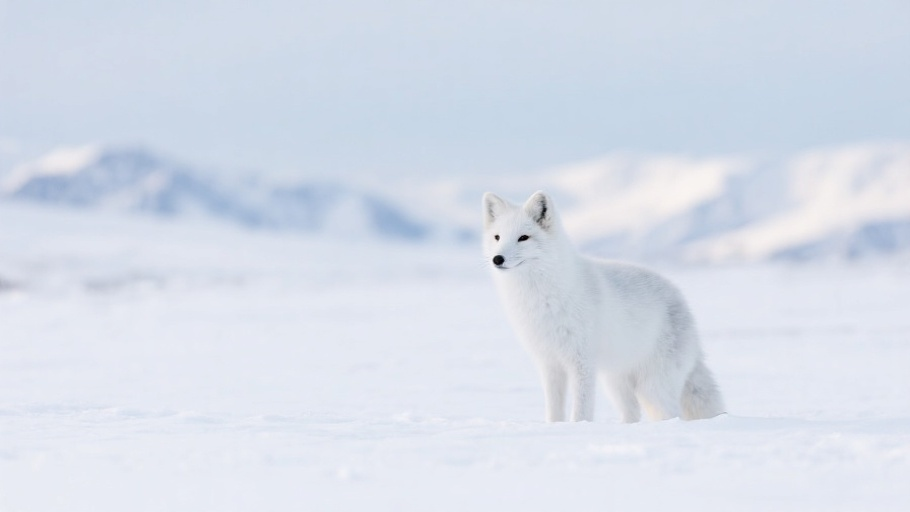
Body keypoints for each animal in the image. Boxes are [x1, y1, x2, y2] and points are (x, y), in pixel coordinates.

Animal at [483, 190, 725, 423]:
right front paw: (555, 427)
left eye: (523, 238)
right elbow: (554, 411)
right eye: (497, 237)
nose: (497, 259)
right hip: (616, 381)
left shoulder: (582, 361)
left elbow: (581, 409)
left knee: (672, 414)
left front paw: (578, 427)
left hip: (652, 386)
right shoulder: (550, 363)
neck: (540, 298)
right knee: (632, 413)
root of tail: (683, 303)